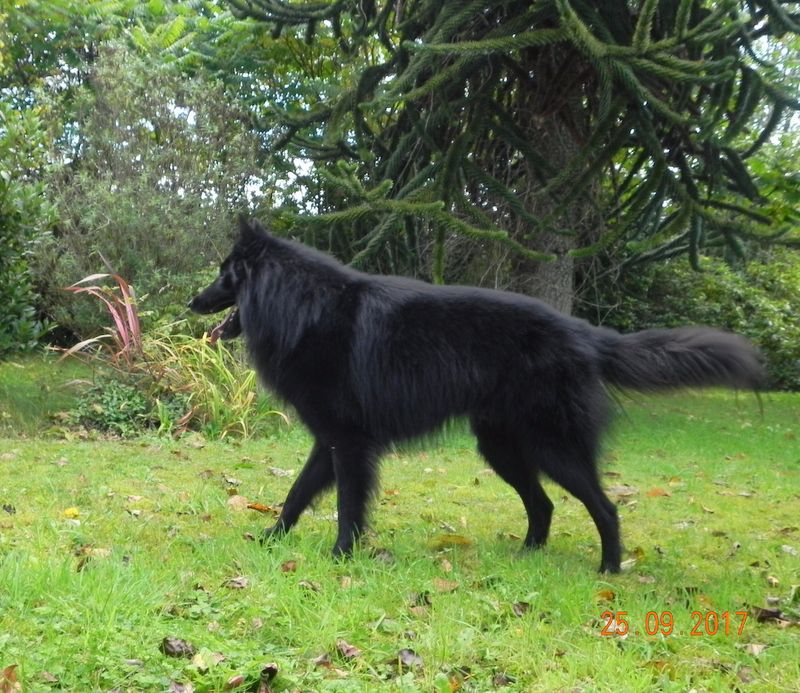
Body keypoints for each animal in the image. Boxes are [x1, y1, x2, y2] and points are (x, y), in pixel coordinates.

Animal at [189, 217, 764, 572]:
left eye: (223, 274)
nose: (194, 301)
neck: (303, 306)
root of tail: (585, 333)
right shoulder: (328, 443)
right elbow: (296, 494)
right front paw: (272, 540)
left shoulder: (350, 446)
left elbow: (348, 506)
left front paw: (340, 556)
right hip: (503, 447)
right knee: (543, 504)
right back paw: (528, 557)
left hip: (554, 447)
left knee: (604, 507)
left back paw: (609, 569)